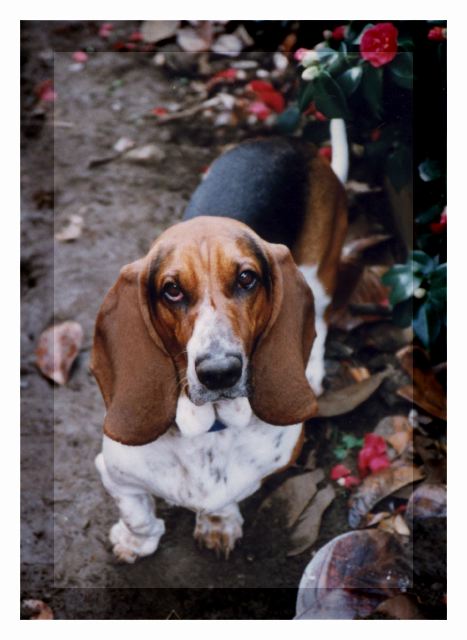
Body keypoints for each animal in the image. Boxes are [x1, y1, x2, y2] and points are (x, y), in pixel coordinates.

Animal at [92, 134, 348, 560]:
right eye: (171, 290)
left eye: (247, 278)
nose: (219, 372)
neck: (210, 425)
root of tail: (291, 142)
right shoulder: (114, 470)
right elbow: (137, 512)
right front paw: (136, 540)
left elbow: (226, 496)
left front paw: (218, 521)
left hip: (319, 275)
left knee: (323, 319)